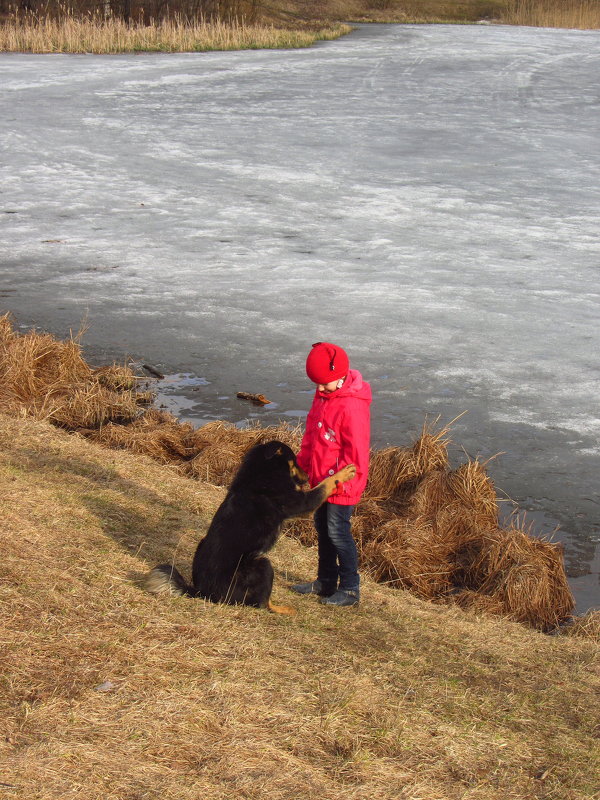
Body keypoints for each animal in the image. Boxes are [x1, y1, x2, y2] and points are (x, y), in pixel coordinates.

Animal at [144, 440, 356, 616]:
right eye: (294, 461)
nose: (308, 476)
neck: (263, 471)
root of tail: (202, 592)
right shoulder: (302, 502)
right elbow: (325, 485)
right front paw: (344, 473)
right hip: (262, 564)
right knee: (262, 603)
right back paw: (283, 609)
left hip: (202, 544)